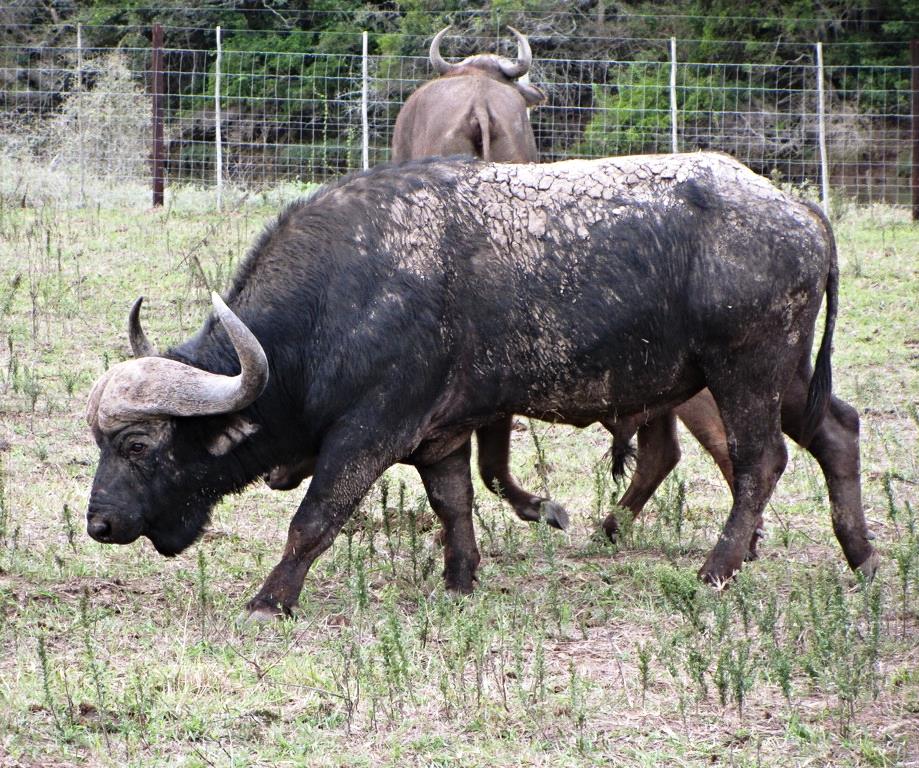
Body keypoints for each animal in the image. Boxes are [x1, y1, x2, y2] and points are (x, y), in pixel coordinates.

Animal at [86, 153, 878, 619]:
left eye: (137, 444)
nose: (100, 524)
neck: (338, 300)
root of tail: (799, 211)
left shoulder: (369, 433)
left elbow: (314, 519)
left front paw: (269, 600)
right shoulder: (440, 435)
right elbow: (455, 502)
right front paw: (462, 577)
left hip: (745, 368)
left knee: (759, 461)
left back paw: (718, 567)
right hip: (783, 374)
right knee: (836, 430)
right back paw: (862, 555)